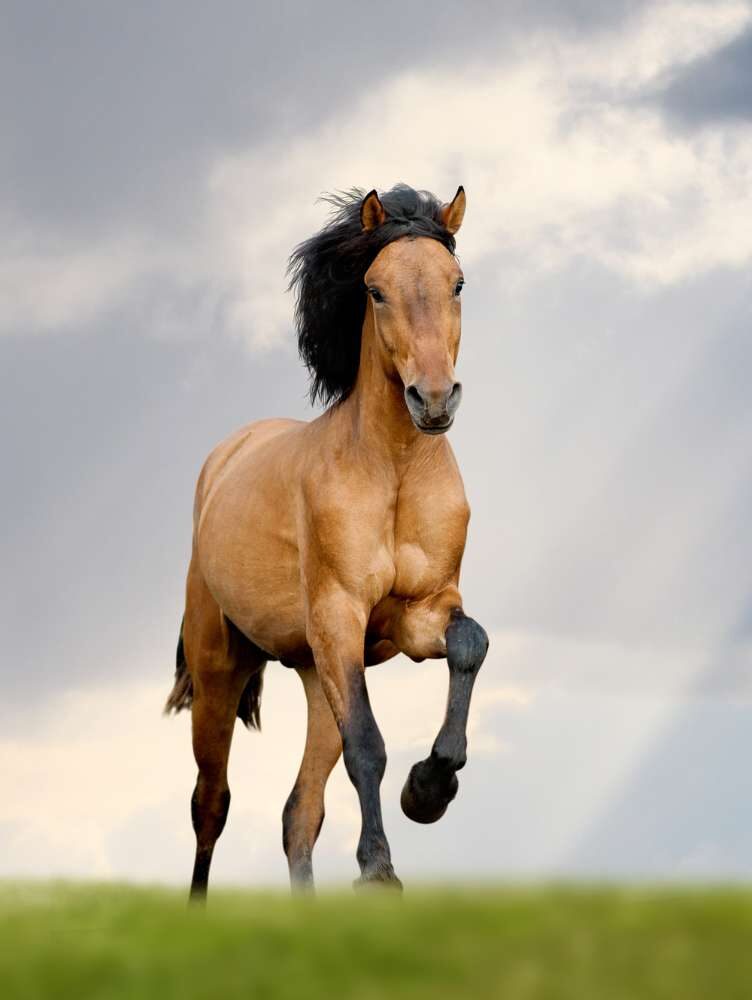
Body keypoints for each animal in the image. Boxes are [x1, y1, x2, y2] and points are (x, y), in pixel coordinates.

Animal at [165, 183, 489, 897]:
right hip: (221, 668)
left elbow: (470, 644)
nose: (433, 399)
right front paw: (379, 872)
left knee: (299, 814)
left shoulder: (418, 615)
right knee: (211, 802)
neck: (393, 470)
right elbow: (368, 744)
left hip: (317, 672)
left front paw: (429, 789)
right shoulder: (341, 615)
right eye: (374, 289)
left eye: (456, 283)